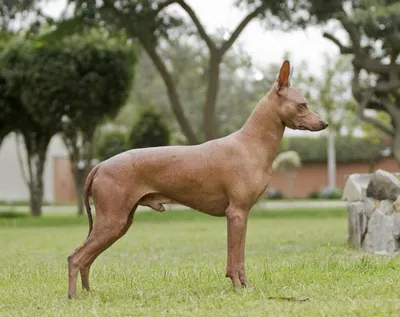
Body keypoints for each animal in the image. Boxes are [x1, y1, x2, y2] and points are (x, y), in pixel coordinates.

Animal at [66, 58, 328, 296]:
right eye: (303, 104)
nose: (325, 123)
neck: (251, 143)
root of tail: (100, 165)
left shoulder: (241, 215)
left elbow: (240, 257)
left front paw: (245, 286)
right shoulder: (236, 213)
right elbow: (235, 259)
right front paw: (238, 287)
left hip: (118, 224)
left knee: (87, 260)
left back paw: (89, 293)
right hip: (112, 221)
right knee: (75, 257)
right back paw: (73, 296)